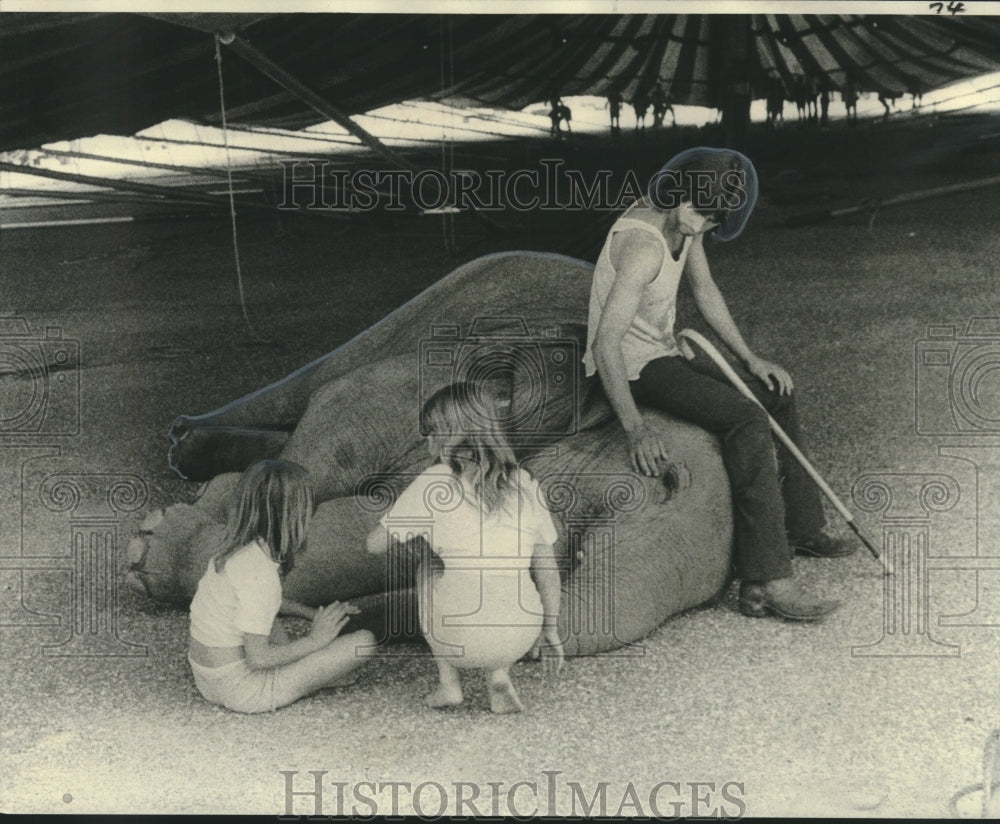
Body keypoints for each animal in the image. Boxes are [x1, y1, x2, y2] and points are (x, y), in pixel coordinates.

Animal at [127, 251, 736, 656]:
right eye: (668, 482)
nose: (349, 622)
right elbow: (342, 432)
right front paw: (158, 553)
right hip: (442, 297)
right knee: (319, 382)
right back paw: (184, 447)